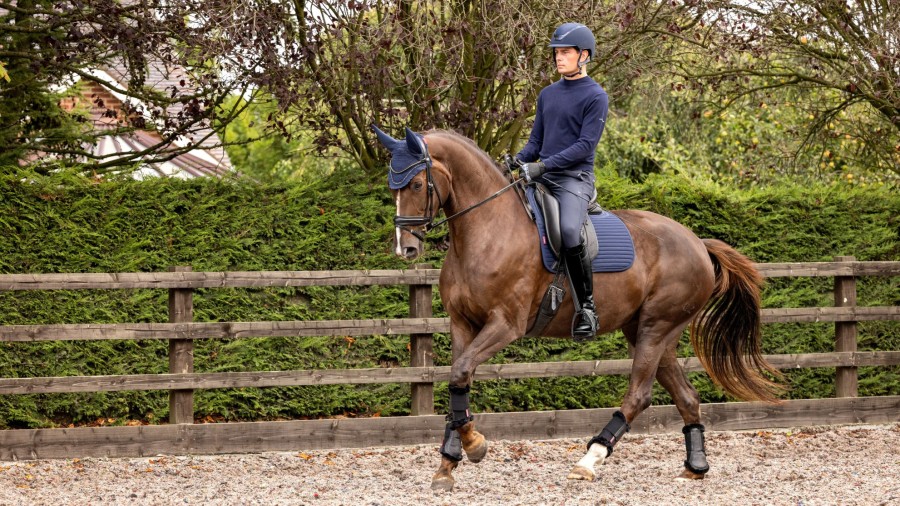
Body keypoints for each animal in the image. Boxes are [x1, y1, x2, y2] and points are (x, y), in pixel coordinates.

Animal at [370, 124, 780, 492]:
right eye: (392, 187)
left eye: (417, 184)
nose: (406, 248)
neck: (487, 230)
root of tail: (697, 243)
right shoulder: (462, 323)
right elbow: (459, 381)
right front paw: (449, 463)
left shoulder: (505, 324)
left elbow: (460, 372)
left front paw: (473, 446)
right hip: (648, 332)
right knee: (686, 396)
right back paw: (695, 466)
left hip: (657, 327)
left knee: (639, 395)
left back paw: (588, 461)